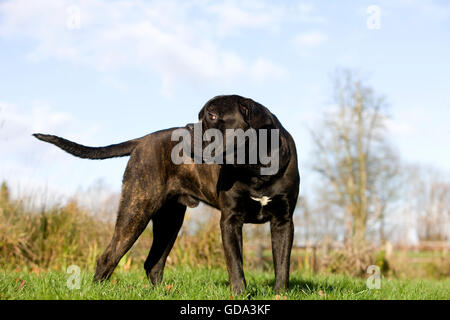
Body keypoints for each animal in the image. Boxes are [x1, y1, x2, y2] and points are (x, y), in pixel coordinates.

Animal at [34, 94, 298, 292]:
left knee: (153, 262)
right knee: (109, 255)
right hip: (135, 211)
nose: (189, 127)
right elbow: (236, 265)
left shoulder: (283, 222)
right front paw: (240, 294)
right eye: (200, 116)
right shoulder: (230, 220)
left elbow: (282, 264)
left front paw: (280, 295)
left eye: (212, 116)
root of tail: (142, 140)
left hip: (169, 220)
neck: (256, 167)